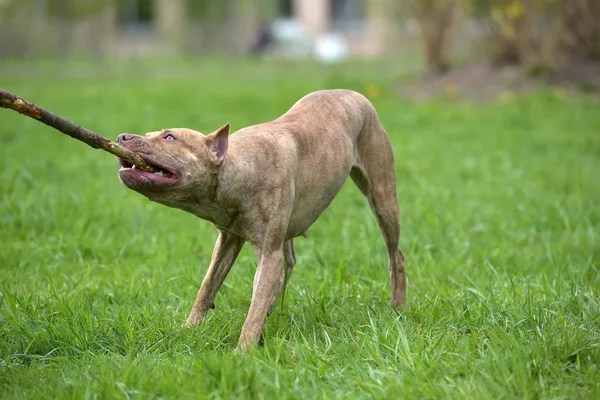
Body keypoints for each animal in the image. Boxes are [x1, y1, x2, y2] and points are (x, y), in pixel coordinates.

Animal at [116, 89, 408, 352]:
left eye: (169, 137)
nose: (122, 136)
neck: (237, 169)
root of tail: (356, 93)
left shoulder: (268, 252)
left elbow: (254, 307)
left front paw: (242, 352)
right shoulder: (228, 239)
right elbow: (208, 285)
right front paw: (188, 329)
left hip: (383, 198)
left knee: (396, 255)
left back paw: (398, 307)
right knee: (287, 266)